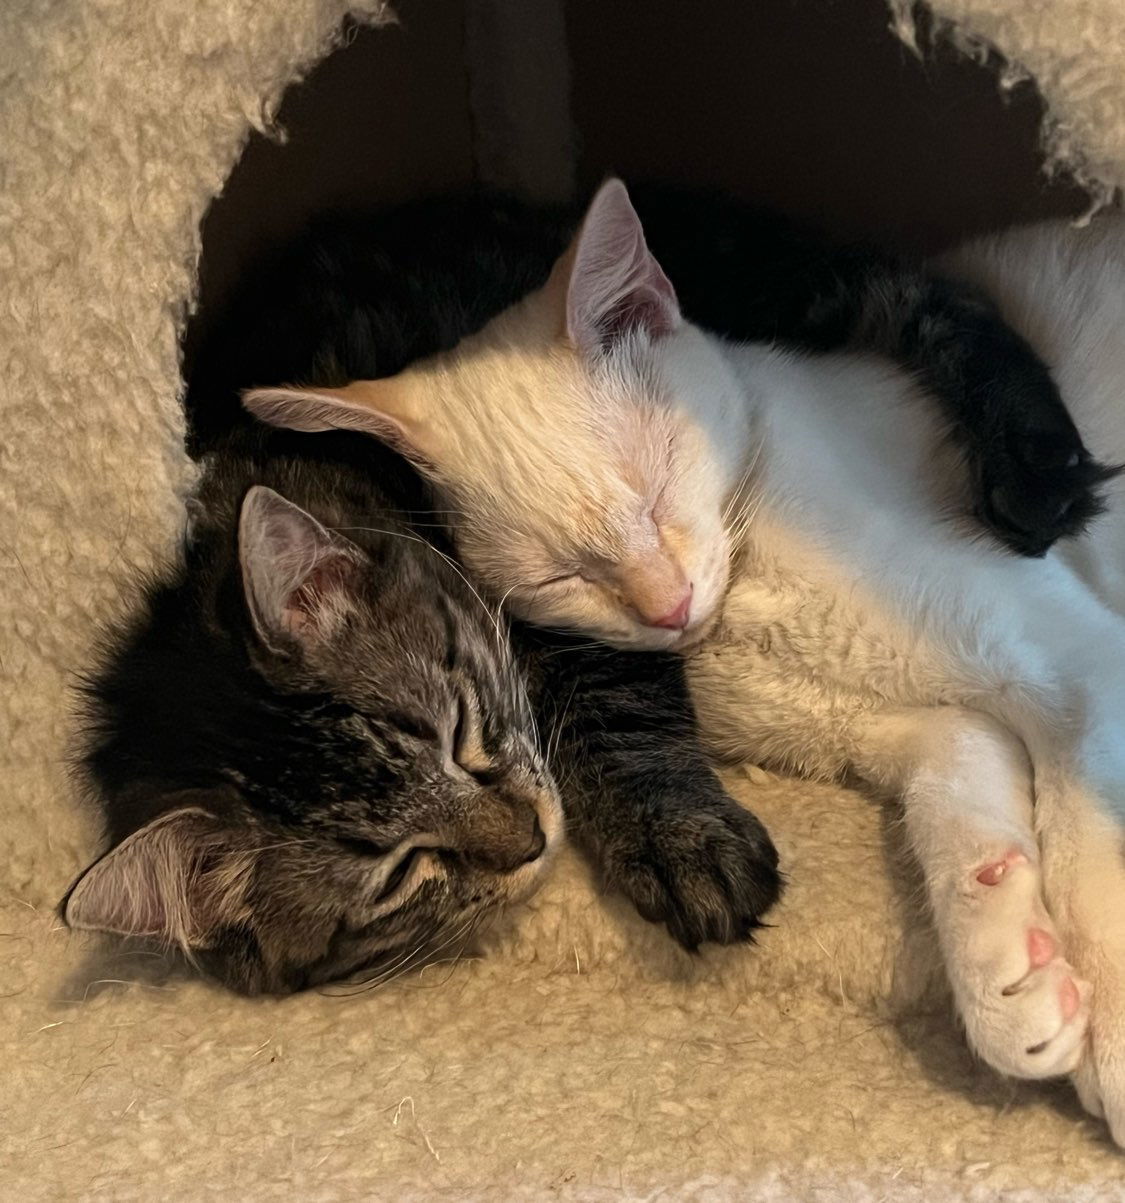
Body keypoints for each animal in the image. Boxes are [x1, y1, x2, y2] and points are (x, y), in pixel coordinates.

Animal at [249, 182, 1125, 1140]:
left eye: (657, 482)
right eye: (561, 573)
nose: (667, 604)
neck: (747, 594)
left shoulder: (1081, 664)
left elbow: (1090, 842)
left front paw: (1112, 1031)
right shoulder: (902, 725)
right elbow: (958, 794)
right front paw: (1011, 973)